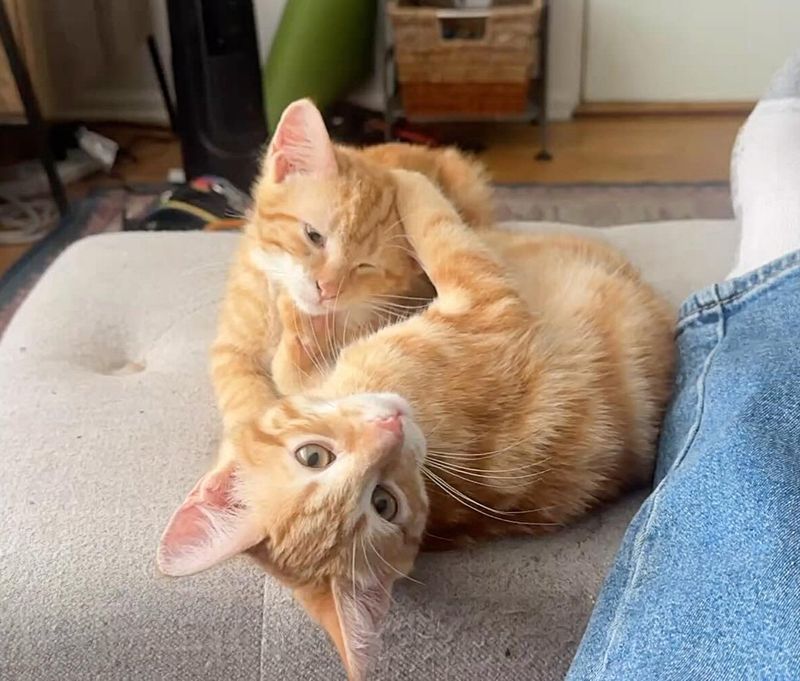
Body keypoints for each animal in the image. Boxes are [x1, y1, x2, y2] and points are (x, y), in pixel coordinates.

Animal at [158, 171, 676, 680]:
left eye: (312, 455)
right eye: (385, 503)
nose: (390, 426)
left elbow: (291, 365)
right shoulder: (487, 304)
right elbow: (437, 226)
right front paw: (404, 178)